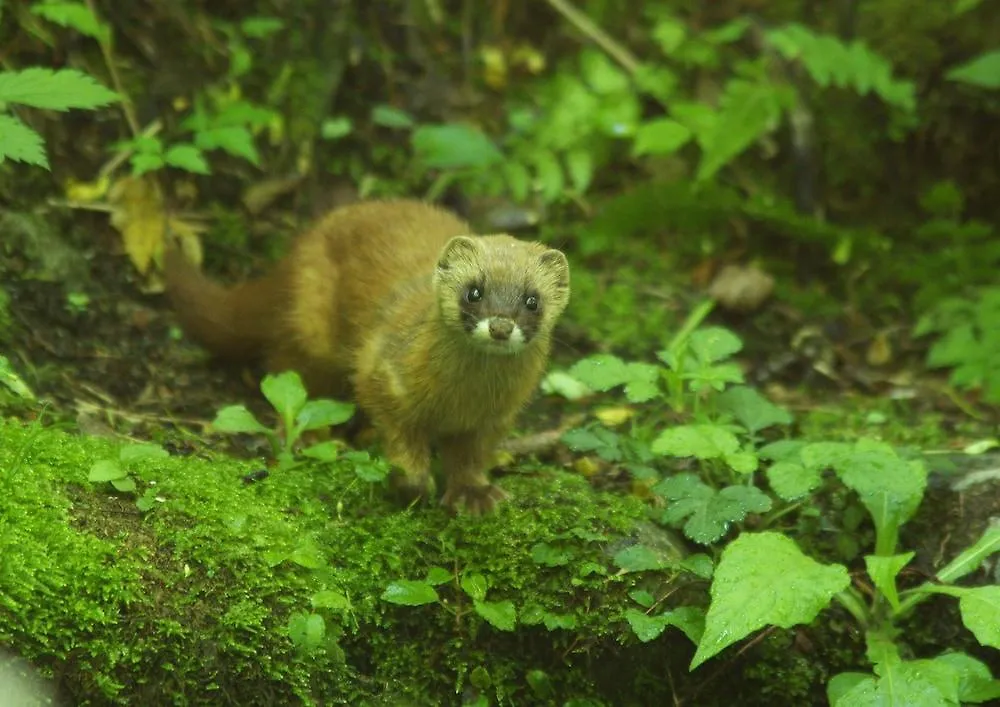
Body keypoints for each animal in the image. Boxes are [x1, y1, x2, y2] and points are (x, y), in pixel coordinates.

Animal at [165, 199, 572, 516]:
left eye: (532, 300)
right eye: (474, 291)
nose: (501, 326)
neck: (462, 399)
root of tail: (298, 248)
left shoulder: (496, 417)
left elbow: (471, 457)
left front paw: (475, 494)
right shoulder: (382, 371)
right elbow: (398, 432)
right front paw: (411, 484)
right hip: (311, 331)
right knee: (286, 368)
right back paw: (308, 435)